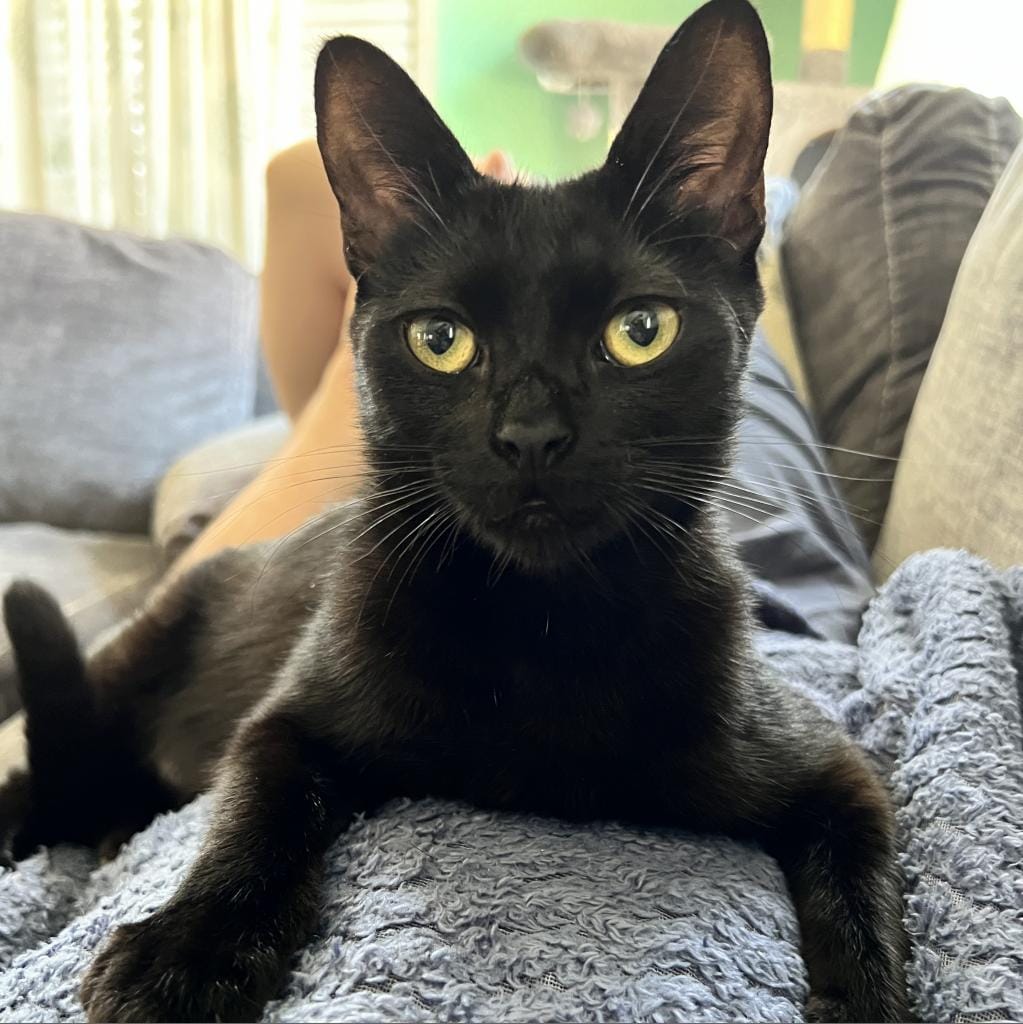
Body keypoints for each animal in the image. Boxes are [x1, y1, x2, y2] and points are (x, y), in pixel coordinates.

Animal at [0, 4, 913, 1019]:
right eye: (441, 339)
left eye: (641, 331)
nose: (530, 436)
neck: (542, 624)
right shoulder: (289, 716)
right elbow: (256, 809)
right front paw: (193, 946)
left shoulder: (828, 764)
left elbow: (863, 883)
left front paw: (864, 996)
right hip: (142, 646)